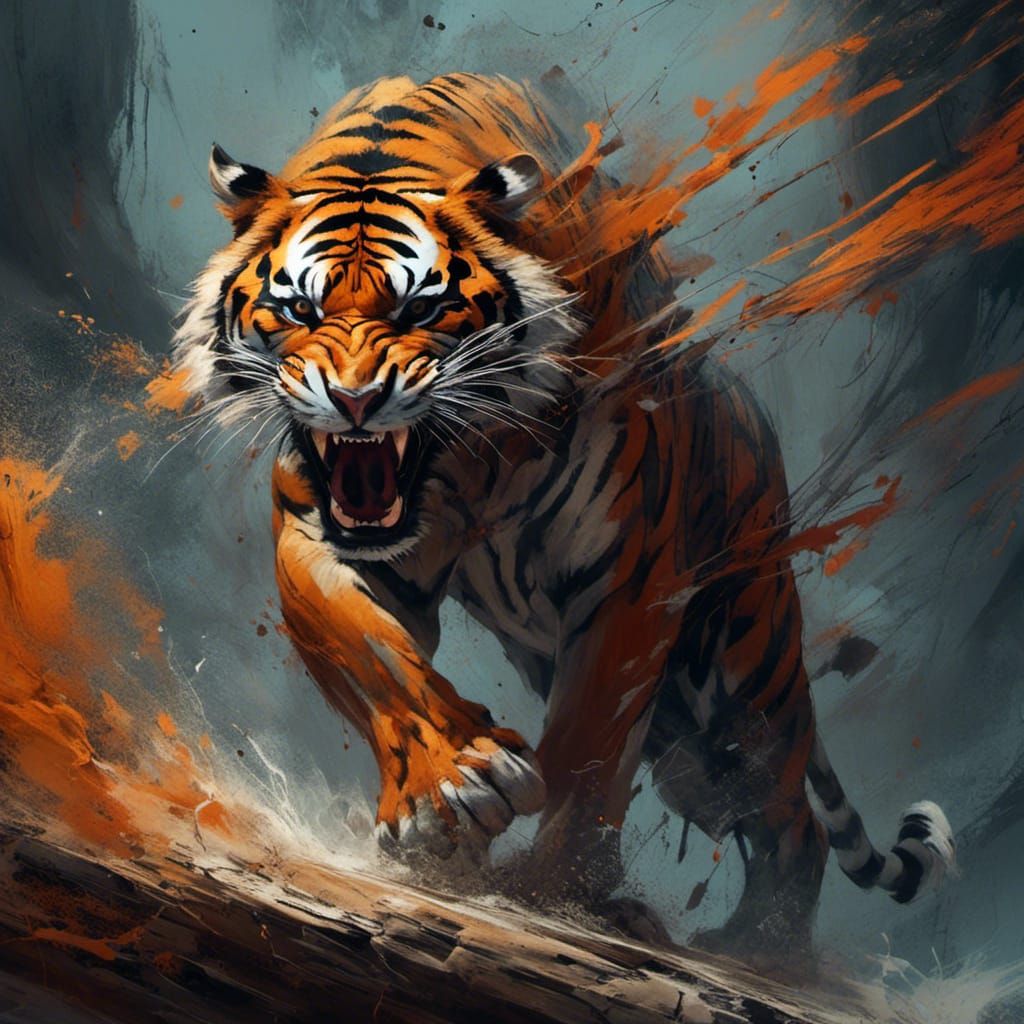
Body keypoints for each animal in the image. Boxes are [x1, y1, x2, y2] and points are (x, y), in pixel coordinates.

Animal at [173, 72, 955, 953]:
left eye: (419, 311)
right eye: (301, 312)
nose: (355, 401)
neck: (468, 463)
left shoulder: (631, 579)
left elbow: (587, 751)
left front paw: (549, 891)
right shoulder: (321, 539)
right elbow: (373, 655)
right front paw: (452, 791)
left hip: (742, 682)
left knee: (796, 820)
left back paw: (761, 947)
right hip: (687, 747)